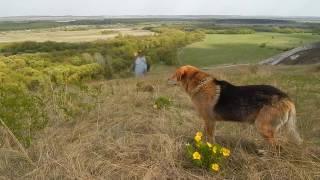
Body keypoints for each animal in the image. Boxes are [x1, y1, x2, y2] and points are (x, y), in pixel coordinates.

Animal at [168, 65, 302, 146]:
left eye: (174, 75)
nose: (167, 80)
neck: (200, 84)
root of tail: (286, 98)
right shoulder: (206, 121)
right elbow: (204, 134)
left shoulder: (210, 121)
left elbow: (210, 138)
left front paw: (210, 147)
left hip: (263, 127)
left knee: (277, 148)